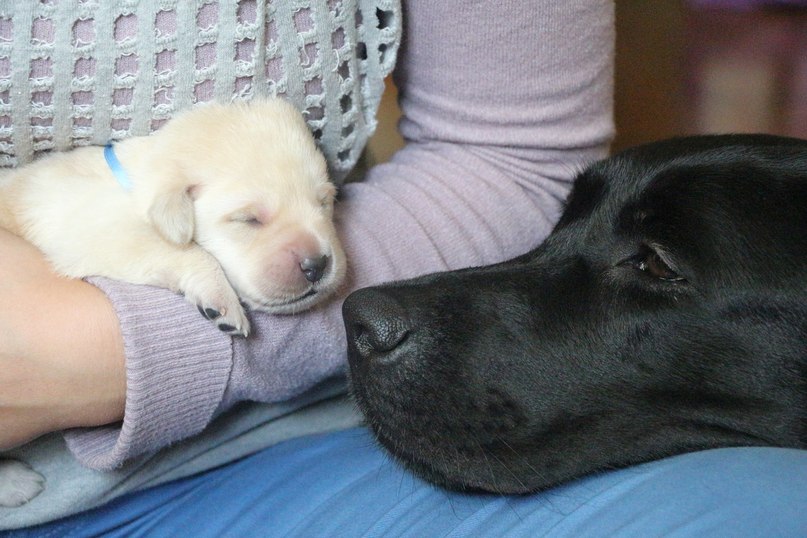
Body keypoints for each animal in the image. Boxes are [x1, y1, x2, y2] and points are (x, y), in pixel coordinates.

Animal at [0, 98, 344, 336]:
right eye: (248, 219)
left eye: (324, 202)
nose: (316, 265)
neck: (135, 183)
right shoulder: (95, 230)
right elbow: (188, 251)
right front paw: (220, 297)